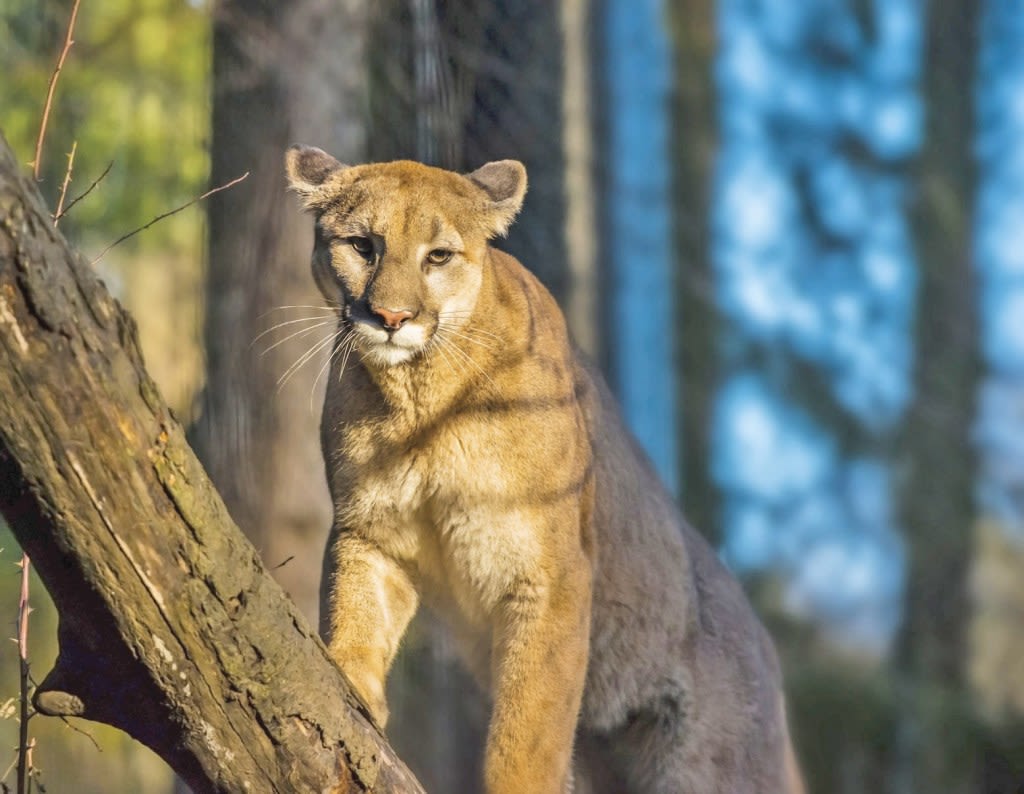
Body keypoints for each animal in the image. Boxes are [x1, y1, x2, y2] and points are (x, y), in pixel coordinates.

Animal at [284, 144, 802, 794]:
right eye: (362, 245)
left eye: (438, 256)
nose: (391, 316)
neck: (418, 398)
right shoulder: (371, 526)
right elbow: (354, 607)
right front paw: (351, 685)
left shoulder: (551, 572)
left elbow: (529, 728)